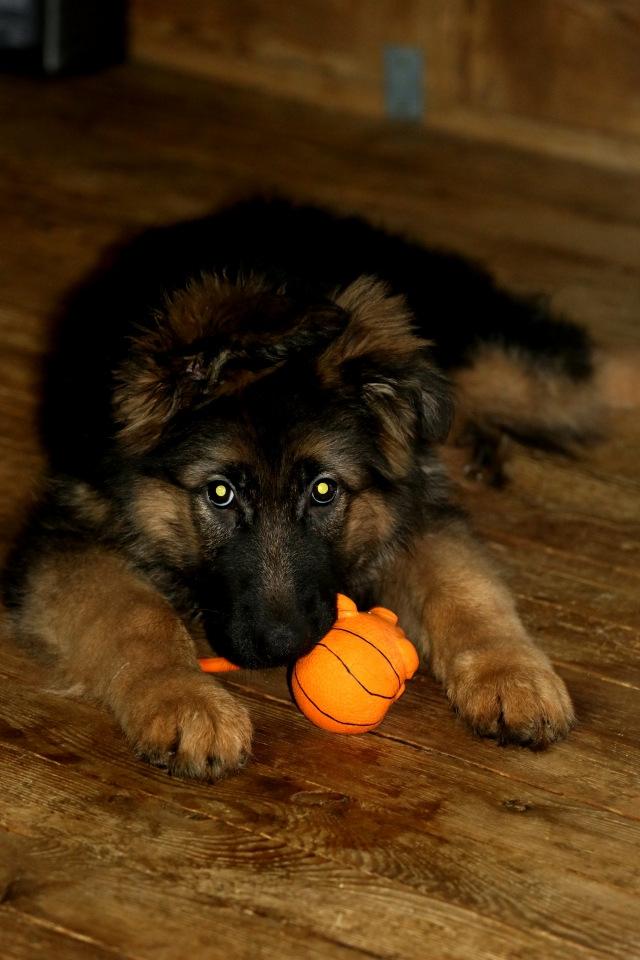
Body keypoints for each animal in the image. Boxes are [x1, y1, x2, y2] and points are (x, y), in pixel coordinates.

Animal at [4, 196, 624, 780]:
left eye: (325, 491)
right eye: (220, 493)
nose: (284, 647)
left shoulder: (416, 505)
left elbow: (464, 585)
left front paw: (513, 675)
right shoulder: (70, 535)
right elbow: (137, 617)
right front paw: (186, 703)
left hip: (511, 373)